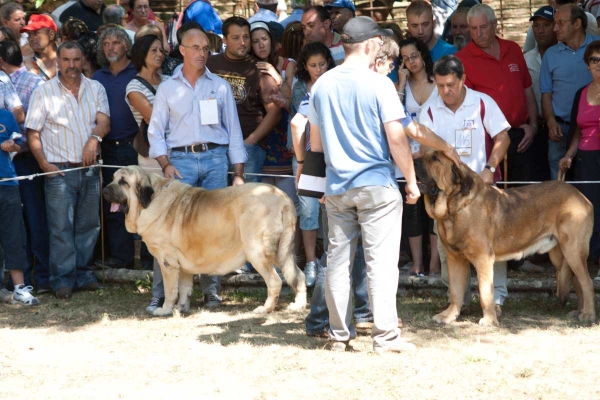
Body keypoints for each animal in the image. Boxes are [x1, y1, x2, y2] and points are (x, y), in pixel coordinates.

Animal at [103, 166, 308, 316]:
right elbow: (184, 288)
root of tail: (282, 198)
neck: (149, 201)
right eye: (112, 178)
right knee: (298, 276)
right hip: (283, 252)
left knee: (275, 282)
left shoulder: (167, 262)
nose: (105, 190)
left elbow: (170, 290)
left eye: (123, 182)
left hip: (257, 253)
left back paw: (265, 309)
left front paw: (165, 309)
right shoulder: (182, 265)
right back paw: (297, 306)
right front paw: (181, 308)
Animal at [414, 150, 596, 324]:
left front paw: (489, 320)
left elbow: (485, 292)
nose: (413, 160)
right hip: (561, 256)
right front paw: (449, 316)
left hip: (573, 251)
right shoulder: (455, 259)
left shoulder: (483, 259)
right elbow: (455, 291)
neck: (454, 209)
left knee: (587, 282)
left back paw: (588, 314)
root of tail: (580, 196)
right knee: (577, 281)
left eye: (435, 159)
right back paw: (578, 311)